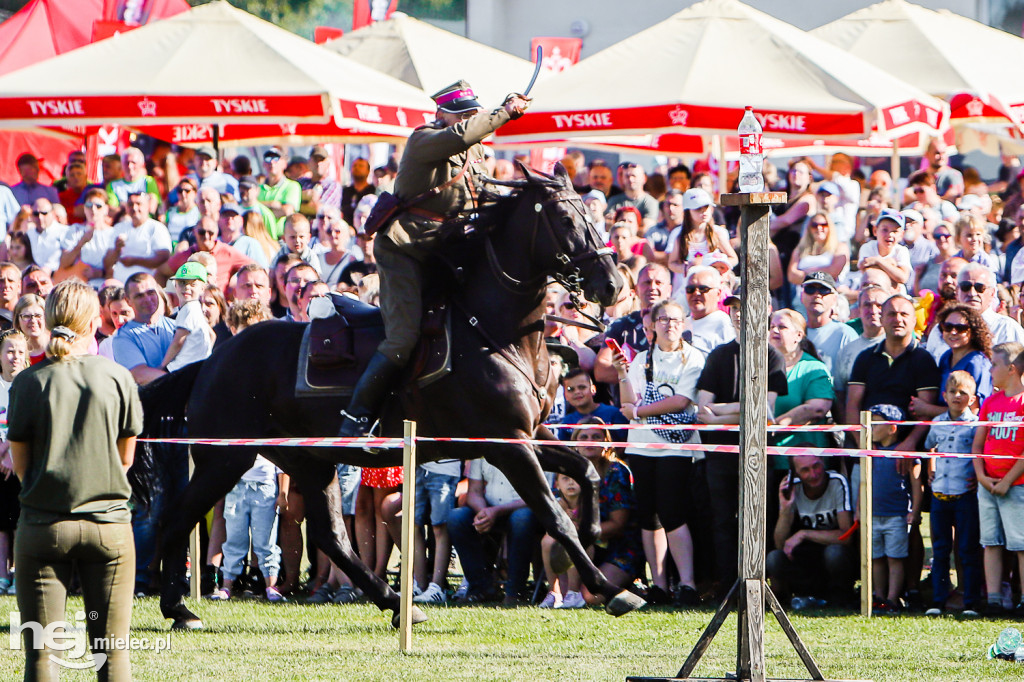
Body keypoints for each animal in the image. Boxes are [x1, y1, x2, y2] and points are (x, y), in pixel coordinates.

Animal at [139, 163, 643, 626]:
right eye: (565, 218)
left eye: (592, 214)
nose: (613, 284)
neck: (494, 330)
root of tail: (212, 361)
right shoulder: (509, 444)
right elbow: (555, 515)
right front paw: (608, 585)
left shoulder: (530, 434)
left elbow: (586, 471)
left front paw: (595, 534)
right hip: (225, 458)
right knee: (177, 518)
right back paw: (177, 606)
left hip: (306, 461)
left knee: (331, 537)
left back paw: (392, 602)